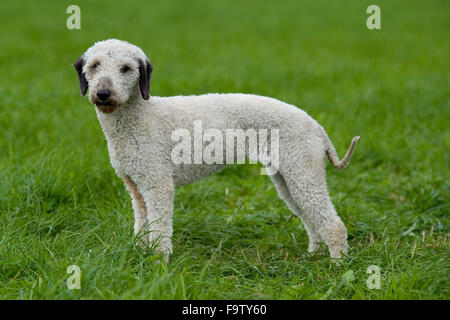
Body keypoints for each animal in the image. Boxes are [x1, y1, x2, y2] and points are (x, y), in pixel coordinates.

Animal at [75, 39, 360, 260]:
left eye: (126, 68)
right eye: (94, 66)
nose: (103, 93)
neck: (140, 116)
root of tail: (317, 127)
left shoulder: (158, 185)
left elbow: (160, 228)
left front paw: (159, 263)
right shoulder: (135, 186)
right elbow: (142, 226)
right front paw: (141, 254)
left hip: (303, 172)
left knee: (332, 224)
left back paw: (336, 266)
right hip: (288, 178)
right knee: (311, 218)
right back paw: (314, 254)